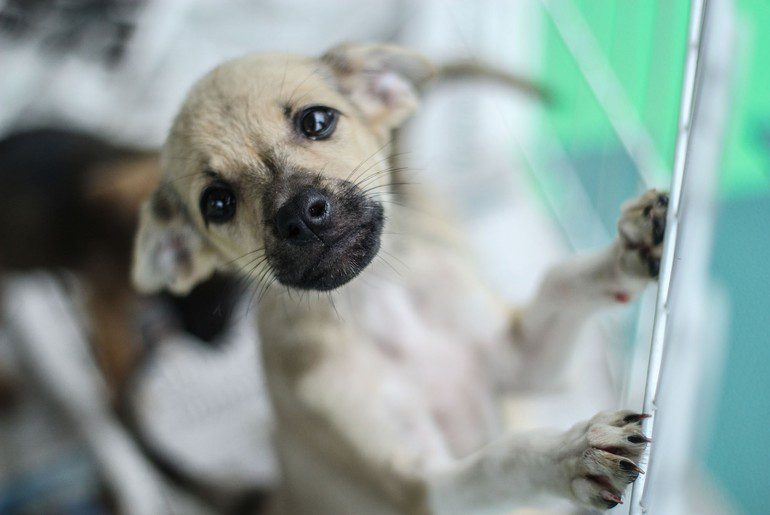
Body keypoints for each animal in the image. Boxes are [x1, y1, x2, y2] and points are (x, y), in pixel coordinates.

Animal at [132, 42, 664, 512]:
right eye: (217, 203)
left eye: (317, 121)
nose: (301, 215)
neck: (374, 303)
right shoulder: (419, 484)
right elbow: (499, 460)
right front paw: (571, 454)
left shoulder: (523, 360)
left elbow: (561, 280)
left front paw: (630, 249)